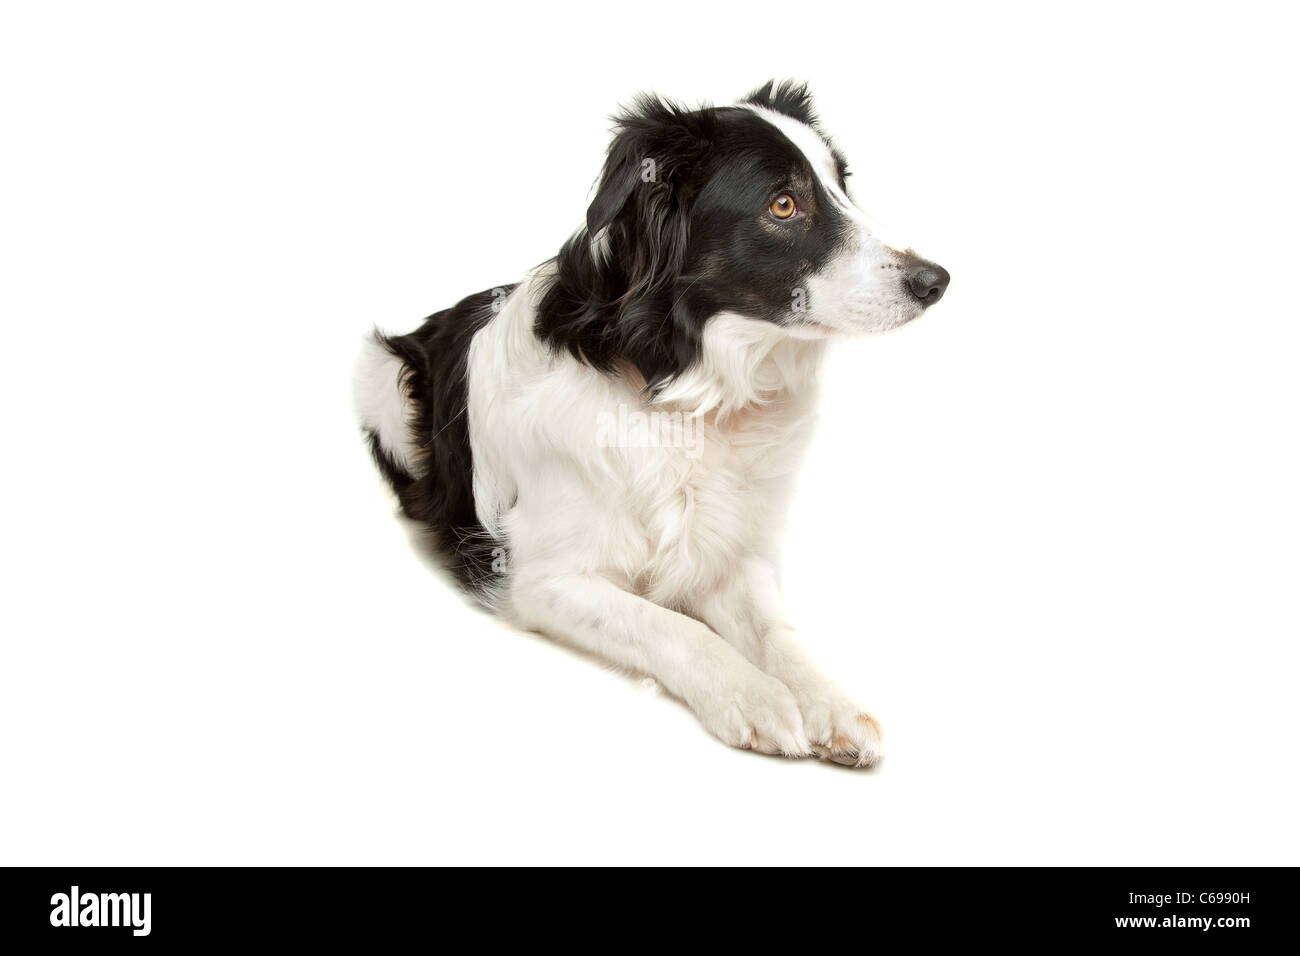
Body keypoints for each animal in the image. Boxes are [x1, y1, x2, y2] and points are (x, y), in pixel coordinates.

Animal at [356, 83, 946, 770]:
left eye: (843, 185)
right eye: (783, 203)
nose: (937, 280)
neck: (688, 393)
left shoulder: (727, 551)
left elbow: (777, 631)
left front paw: (830, 702)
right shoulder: (543, 579)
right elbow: (671, 626)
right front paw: (755, 698)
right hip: (381, 380)